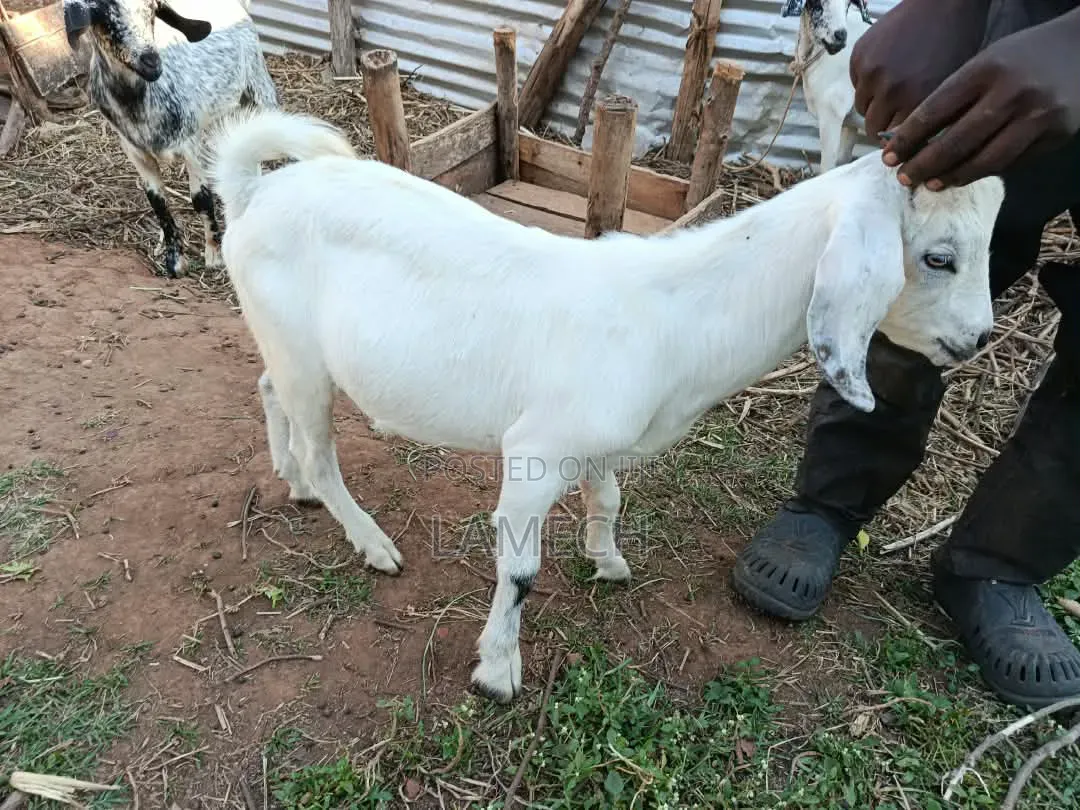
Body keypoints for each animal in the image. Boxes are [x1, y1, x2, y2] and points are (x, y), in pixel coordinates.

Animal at [63, 0, 277, 278]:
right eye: (105, 17)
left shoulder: (190, 143)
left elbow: (201, 199)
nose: (151, 61)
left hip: (258, 86)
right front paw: (175, 261)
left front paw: (214, 255)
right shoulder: (135, 151)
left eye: (152, 12)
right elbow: (158, 202)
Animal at [206, 108, 1004, 703]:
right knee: (319, 445)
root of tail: (253, 193)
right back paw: (370, 541)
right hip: (303, 352)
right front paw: (497, 672)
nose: (978, 338)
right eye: (939, 257)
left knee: (269, 391)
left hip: (286, 344)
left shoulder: (595, 441)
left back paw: (295, 484)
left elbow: (610, 495)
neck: (673, 314)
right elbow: (520, 569)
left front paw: (607, 560)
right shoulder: (535, 452)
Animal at [781, 0, 873, 173]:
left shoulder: (832, 112)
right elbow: (843, 161)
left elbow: (827, 168)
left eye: (847, 4)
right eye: (817, 4)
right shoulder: (850, 121)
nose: (841, 35)